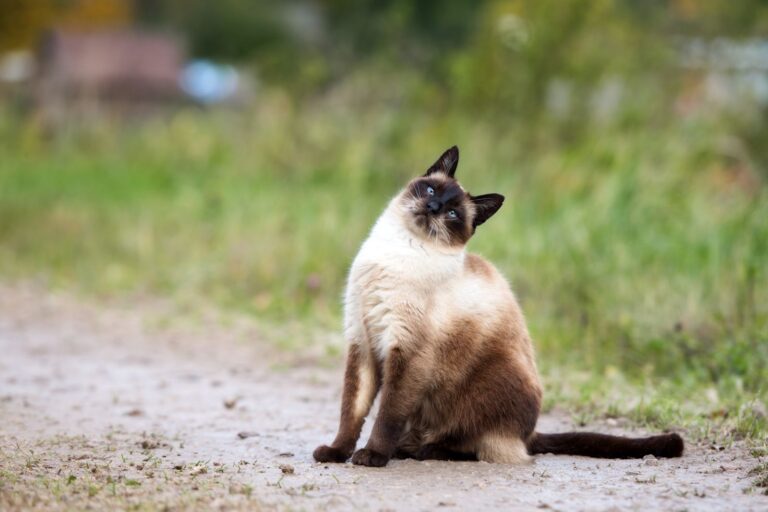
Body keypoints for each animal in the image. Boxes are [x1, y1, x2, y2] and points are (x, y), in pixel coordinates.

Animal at [312, 146, 684, 466]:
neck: (396, 252)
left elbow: (386, 416)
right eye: (431, 190)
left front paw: (373, 456)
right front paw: (336, 453)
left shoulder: (406, 351)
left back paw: (422, 450)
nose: (432, 208)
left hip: (485, 385)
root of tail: (529, 434)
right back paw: (407, 448)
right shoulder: (362, 341)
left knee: (476, 446)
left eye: (452, 214)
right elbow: (352, 412)